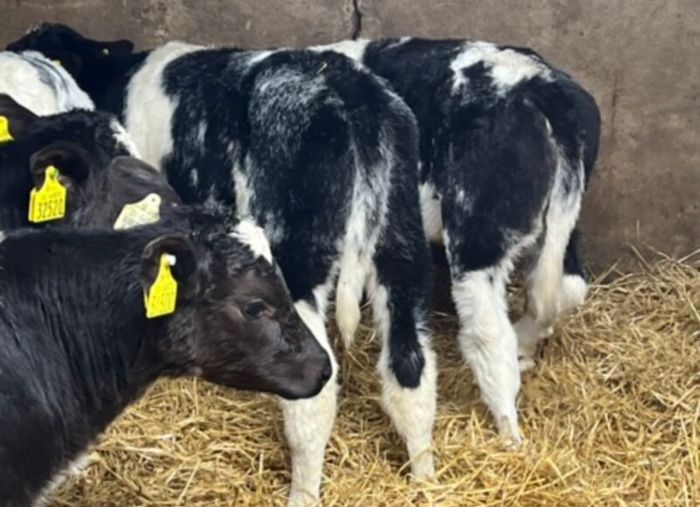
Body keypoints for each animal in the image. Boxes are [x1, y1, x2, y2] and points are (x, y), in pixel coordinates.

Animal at [314, 38, 601, 443]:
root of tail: (539, 84)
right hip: (561, 218)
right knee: (564, 286)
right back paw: (525, 349)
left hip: (477, 233)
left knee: (491, 331)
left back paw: (509, 431)